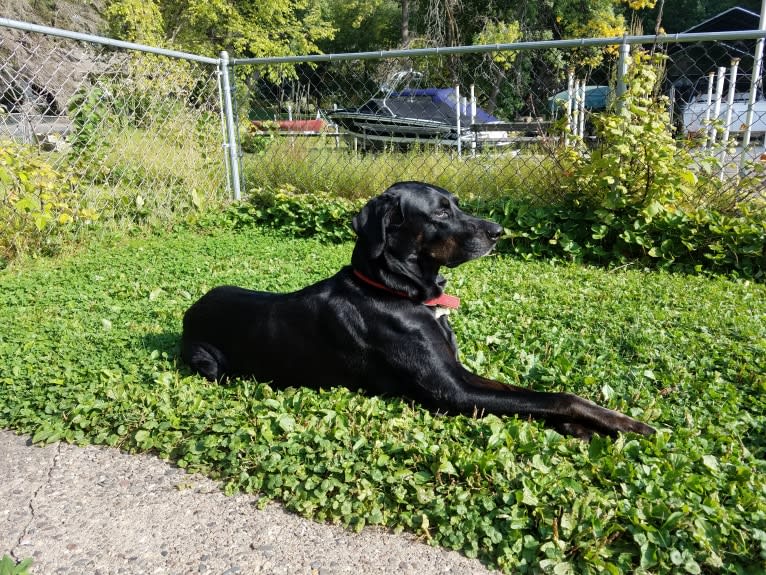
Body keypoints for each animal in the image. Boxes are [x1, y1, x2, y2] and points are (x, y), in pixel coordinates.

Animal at [183, 182, 656, 438]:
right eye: (440, 213)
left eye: (457, 203)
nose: (499, 231)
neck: (400, 292)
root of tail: (191, 310)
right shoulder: (453, 391)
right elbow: (556, 397)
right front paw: (629, 426)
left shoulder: (460, 373)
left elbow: (533, 396)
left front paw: (591, 425)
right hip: (209, 364)